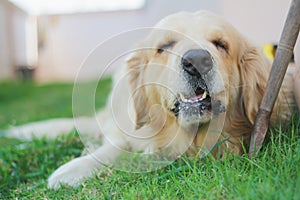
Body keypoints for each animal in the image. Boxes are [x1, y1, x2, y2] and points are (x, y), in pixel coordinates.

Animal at [4, 10, 298, 189]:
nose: (197, 61)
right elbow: (112, 150)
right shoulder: (128, 134)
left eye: (220, 44)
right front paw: (73, 170)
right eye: (165, 46)